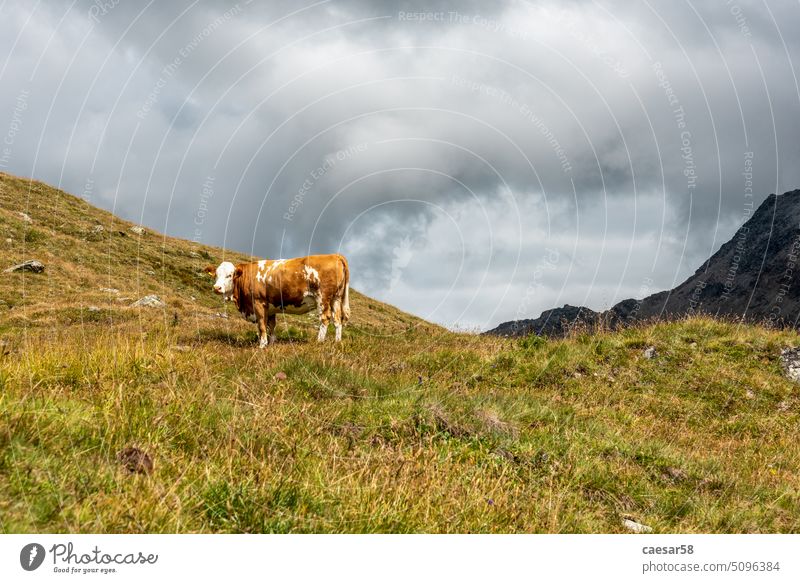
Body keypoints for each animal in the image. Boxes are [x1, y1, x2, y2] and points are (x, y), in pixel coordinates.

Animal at [208, 254, 352, 346]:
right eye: (216, 275)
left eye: (229, 275)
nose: (216, 288)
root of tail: (334, 255)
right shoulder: (271, 308)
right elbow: (271, 326)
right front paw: (271, 343)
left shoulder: (258, 303)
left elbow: (262, 325)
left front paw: (262, 345)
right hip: (336, 298)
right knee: (337, 320)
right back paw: (337, 342)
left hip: (322, 297)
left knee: (325, 318)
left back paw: (319, 341)